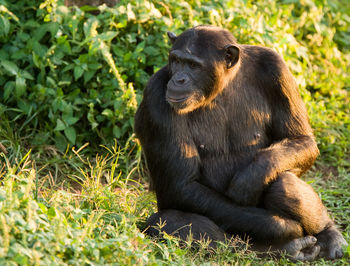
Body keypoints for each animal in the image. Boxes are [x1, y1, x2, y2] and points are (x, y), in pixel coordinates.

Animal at [135, 26, 348, 260]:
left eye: (193, 65)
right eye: (176, 61)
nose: (179, 79)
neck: (223, 85)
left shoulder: (276, 67)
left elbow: (301, 138)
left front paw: (251, 178)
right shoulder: (156, 94)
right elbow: (182, 185)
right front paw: (284, 226)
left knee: (284, 184)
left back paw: (328, 235)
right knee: (167, 220)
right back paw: (282, 247)